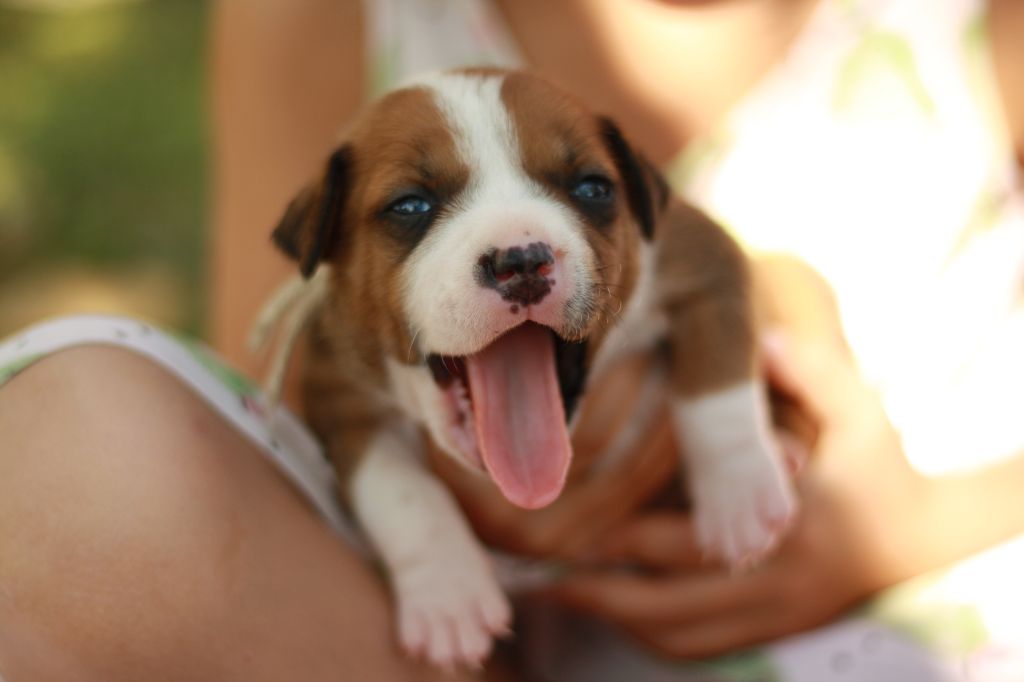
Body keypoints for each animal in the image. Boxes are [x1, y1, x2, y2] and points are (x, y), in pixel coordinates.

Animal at [266, 68, 796, 668]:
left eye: (593, 188)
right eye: (410, 205)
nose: (520, 261)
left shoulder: (703, 257)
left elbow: (718, 386)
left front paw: (740, 494)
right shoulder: (339, 389)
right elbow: (399, 490)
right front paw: (449, 596)